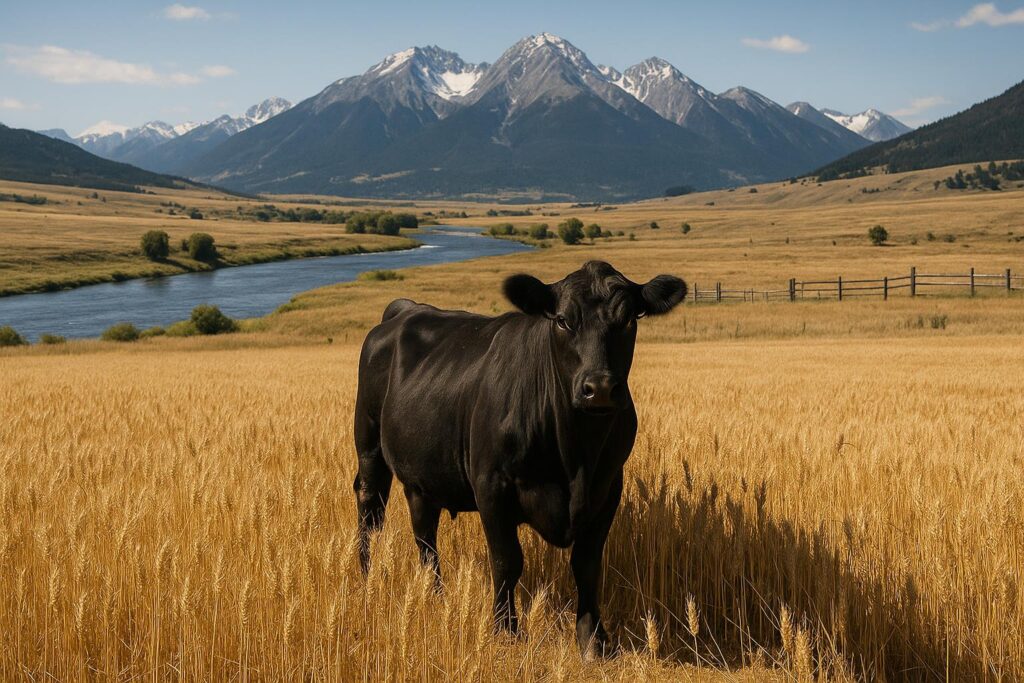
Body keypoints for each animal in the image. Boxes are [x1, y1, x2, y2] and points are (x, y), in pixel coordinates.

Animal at [353, 260, 686, 657]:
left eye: (629, 320)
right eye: (562, 320)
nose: (600, 388)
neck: (575, 457)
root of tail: (405, 308)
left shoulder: (608, 488)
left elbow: (587, 565)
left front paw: (593, 639)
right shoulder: (491, 487)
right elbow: (506, 561)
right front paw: (505, 630)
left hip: (422, 476)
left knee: (425, 535)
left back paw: (435, 595)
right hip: (369, 444)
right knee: (371, 509)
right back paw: (367, 575)